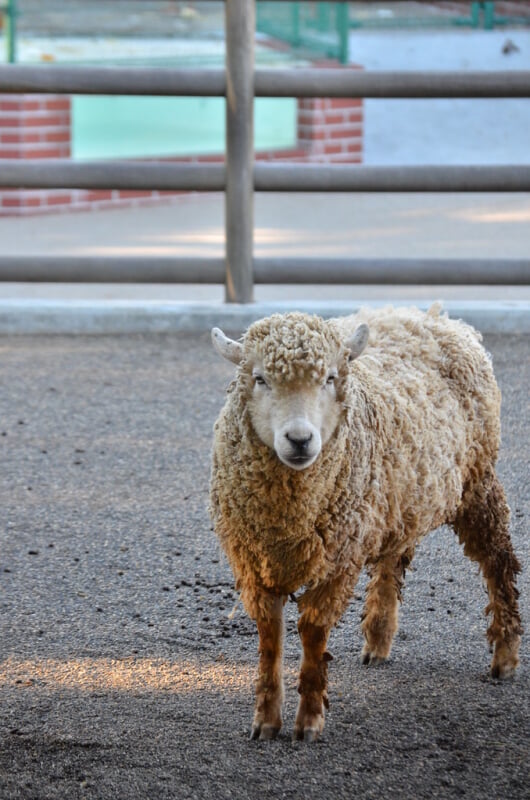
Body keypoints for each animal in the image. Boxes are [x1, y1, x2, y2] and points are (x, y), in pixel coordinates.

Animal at [207, 306, 520, 744]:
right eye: (259, 379)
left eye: (329, 378)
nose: (300, 439)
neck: (289, 515)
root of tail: (436, 316)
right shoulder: (252, 561)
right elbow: (270, 636)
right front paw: (266, 719)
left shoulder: (339, 559)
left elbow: (312, 630)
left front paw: (309, 720)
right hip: (397, 501)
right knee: (394, 559)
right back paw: (378, 639)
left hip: (477, 481)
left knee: (498, 561)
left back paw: (505, 655)